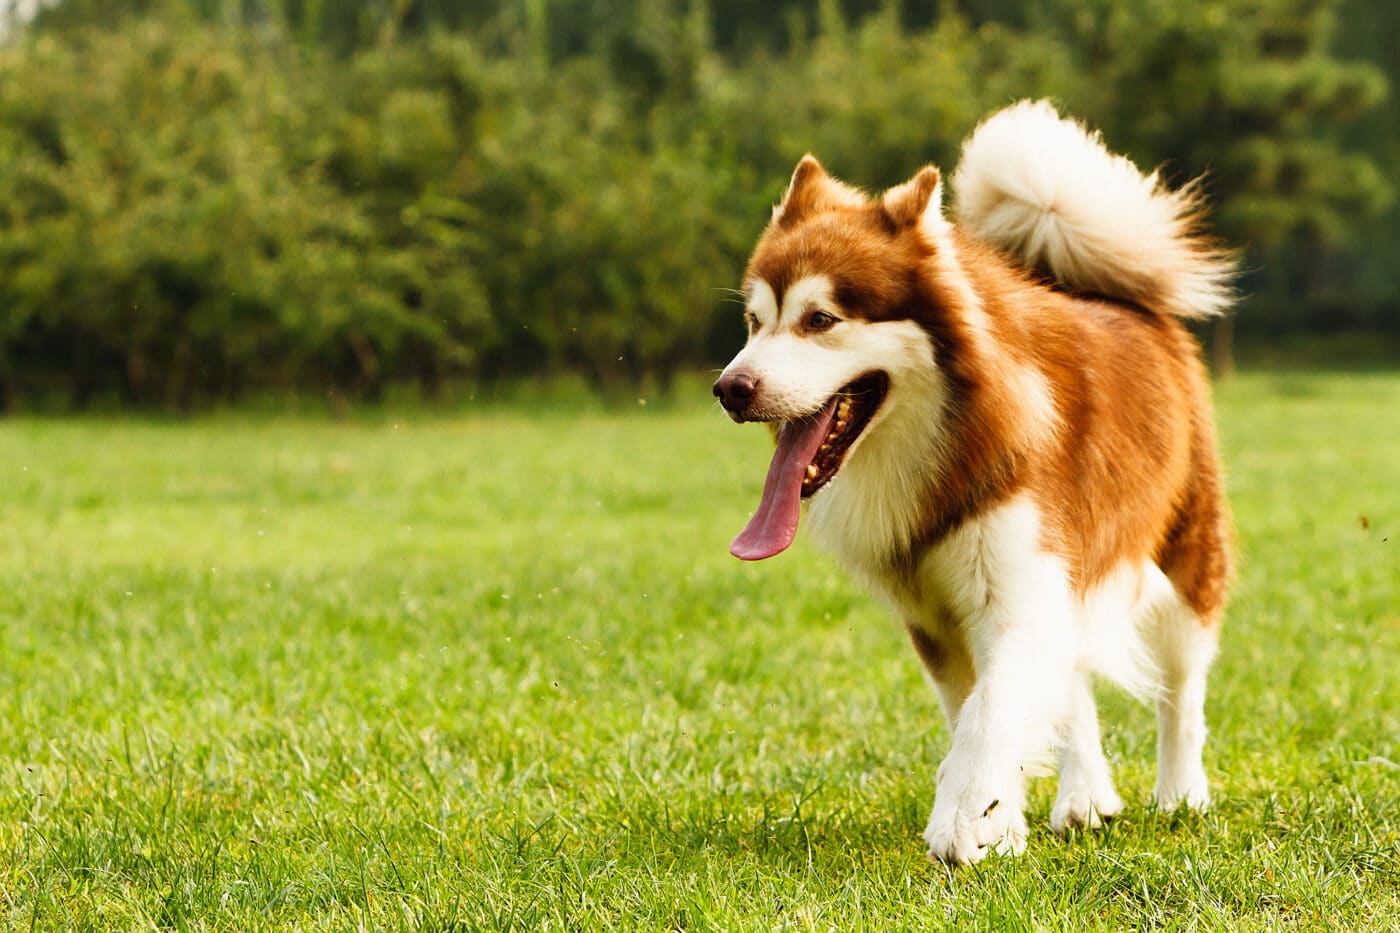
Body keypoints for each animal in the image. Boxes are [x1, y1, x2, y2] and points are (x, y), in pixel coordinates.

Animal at [716, 98, 1232, 862]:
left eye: (820, 319)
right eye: (755, 321)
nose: (730, 388)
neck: (939, 442)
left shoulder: (1014, 589)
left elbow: (991, 709)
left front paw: (963, 824)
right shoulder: (937, 614)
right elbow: (983, 708)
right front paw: (999, 820)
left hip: (1185, 553)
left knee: (1181, 688)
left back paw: (1179, 793)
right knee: (1072, 680)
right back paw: (1086, 797)